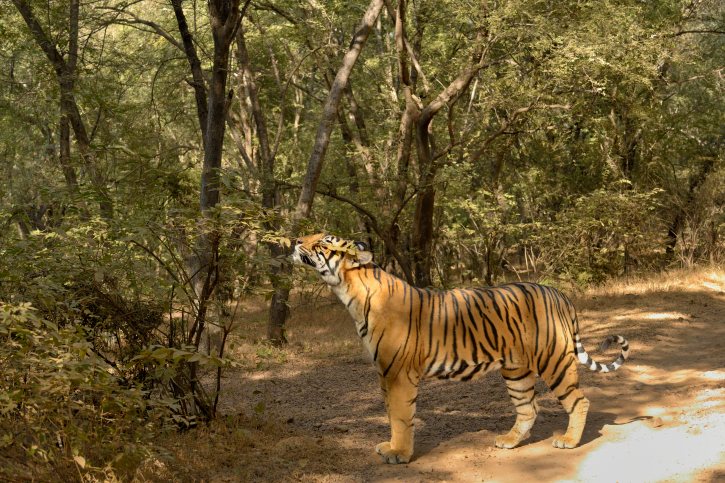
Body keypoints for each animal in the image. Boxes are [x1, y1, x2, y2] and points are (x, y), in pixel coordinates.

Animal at [292, 234, 624, 466]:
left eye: (323, 240)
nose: (295, 240)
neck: (350, 294)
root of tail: (558, 293)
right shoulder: (383, 373)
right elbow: (390, 415)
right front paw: (390, 446)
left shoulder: (397, 374)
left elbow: (401, 417)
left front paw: (399, 453)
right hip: (516, 369)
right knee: (528, 408)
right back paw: (509, 441)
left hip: (553, 360)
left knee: (579, 401)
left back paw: (569, 440)